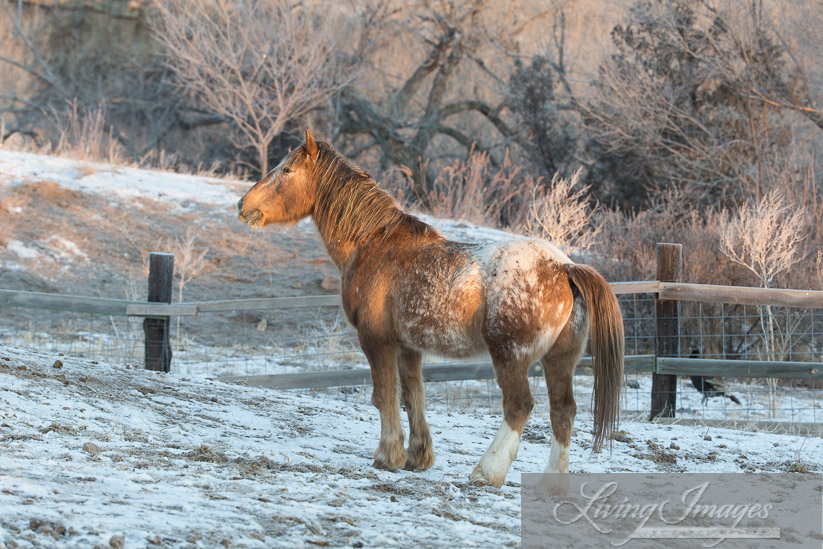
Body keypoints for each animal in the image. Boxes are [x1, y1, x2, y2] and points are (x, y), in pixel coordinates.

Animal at [238, 130, 624, 488]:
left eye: (286, 170)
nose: (243, 204)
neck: (374, 242)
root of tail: (564, 267)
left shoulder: (376, 341)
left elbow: (384, 395)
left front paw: (387, 456)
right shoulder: (409, 346)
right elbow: (414, 396)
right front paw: (417, 457)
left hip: (510, 357)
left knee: (520, 406)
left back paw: (487, 472)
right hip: (559, 360)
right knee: (563, 411)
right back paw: (552, 480)